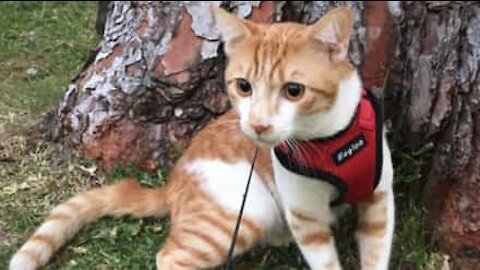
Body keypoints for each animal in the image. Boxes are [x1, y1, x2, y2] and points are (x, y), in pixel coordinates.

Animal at [10, 6, 394, 270]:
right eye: (243, 86)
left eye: (294, 91)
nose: (257, 126)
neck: (331, 136)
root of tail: (174, 180)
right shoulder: (306, 217)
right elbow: (325, 260)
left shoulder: (379, 201)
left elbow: (376, 255)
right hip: (245, 211)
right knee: (170, 257)